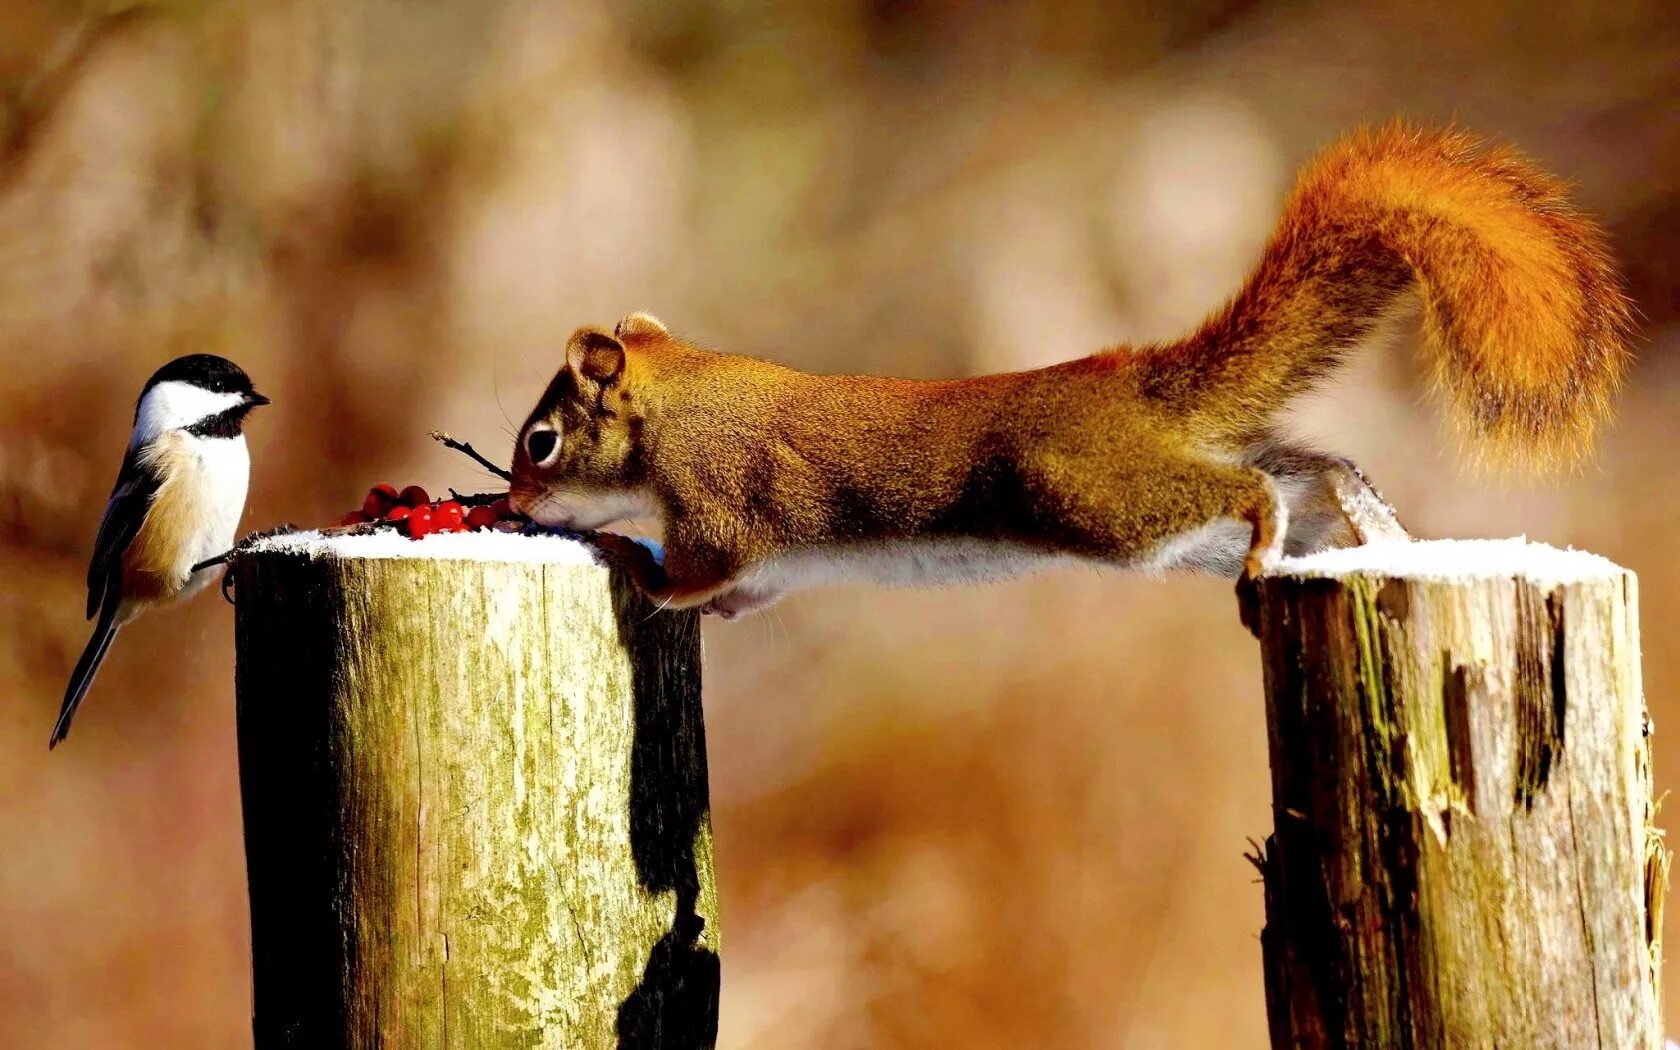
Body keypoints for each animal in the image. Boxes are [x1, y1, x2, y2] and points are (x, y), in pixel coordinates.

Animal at [507, 123, 1626, 618]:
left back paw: (1286, 532)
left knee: (1253, 487)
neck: (685, 399)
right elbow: (741, 596)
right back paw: (1374, 528)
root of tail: (1130, 386)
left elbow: (699, 567)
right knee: (1314, 469)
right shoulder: (770, 567)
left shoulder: (722, 505)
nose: (513, 503)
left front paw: (638, 571)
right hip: (1172, 521)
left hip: (1094, 497)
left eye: (543, 441)